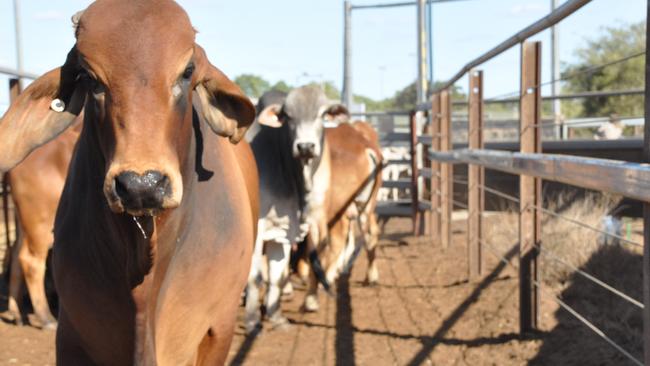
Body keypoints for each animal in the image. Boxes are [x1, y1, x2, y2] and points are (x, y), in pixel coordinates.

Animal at [2, 118, 79, 328]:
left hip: (25, 222)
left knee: (15, 253)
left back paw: (17, 313)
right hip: (39, 221)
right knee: (30, 260)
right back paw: (46, 317)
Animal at [243, 86, 344, 332]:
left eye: (322, 114)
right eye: (288, 116)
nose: (305, 146)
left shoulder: (285, 231)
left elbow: (278, 276)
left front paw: (276, 317)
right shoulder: (257, 228)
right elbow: (255, 276)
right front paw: (252, 321)